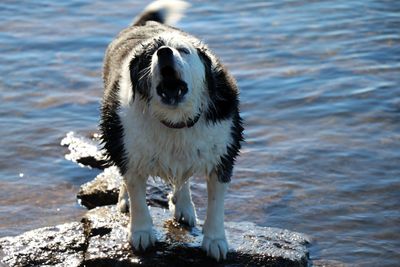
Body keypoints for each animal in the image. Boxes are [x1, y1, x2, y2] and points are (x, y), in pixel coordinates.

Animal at [100, 0, 244, 262]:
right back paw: (125, 198)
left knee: (183, 176)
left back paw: (184, 205)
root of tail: (145, 24)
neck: (175, 119)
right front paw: (141, 232)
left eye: (184, 51)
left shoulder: (223, 151)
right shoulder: (128, 145)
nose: (164, 52)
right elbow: (136, 191)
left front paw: (215, 240)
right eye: (150, 56)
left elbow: (216, 202)